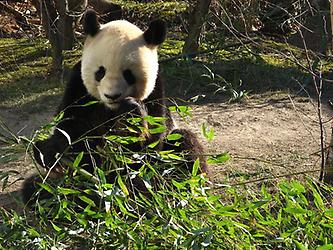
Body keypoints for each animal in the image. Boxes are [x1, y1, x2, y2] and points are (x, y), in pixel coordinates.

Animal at [22, 9, 206, 205]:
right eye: (100, 72)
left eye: (128, 74)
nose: (112, 96)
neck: (111, 109)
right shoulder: (78, 88)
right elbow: (71, 131)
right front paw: (51, 151)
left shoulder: (156, 92)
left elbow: (149, 145)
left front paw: (131, 113)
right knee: (37, 188)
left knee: (184, 146)